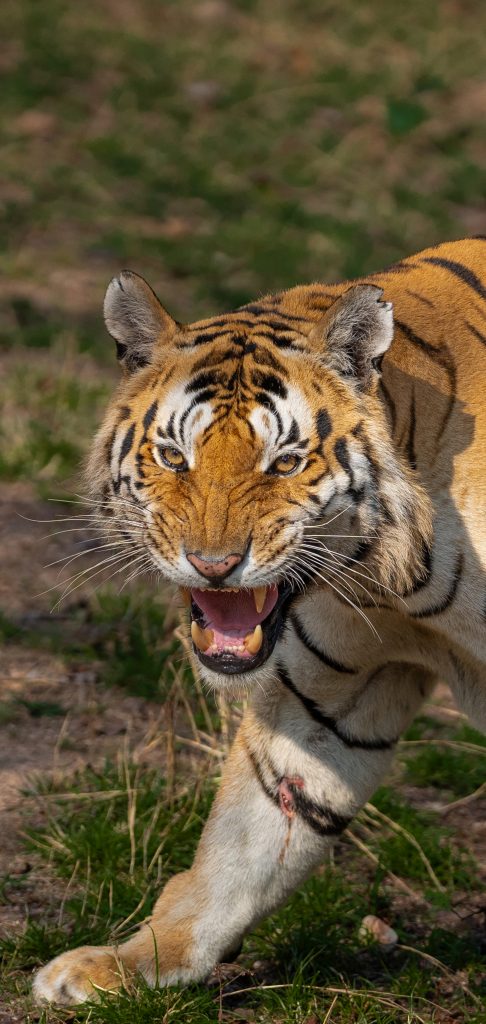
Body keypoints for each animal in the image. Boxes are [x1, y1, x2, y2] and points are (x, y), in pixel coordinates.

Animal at [34, 237, 486, 1004]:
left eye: (285, 462)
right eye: (173, 456)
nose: (213, 565)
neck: (388, 575)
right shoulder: (329, 697)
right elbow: (246, 840)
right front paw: (129, 963)